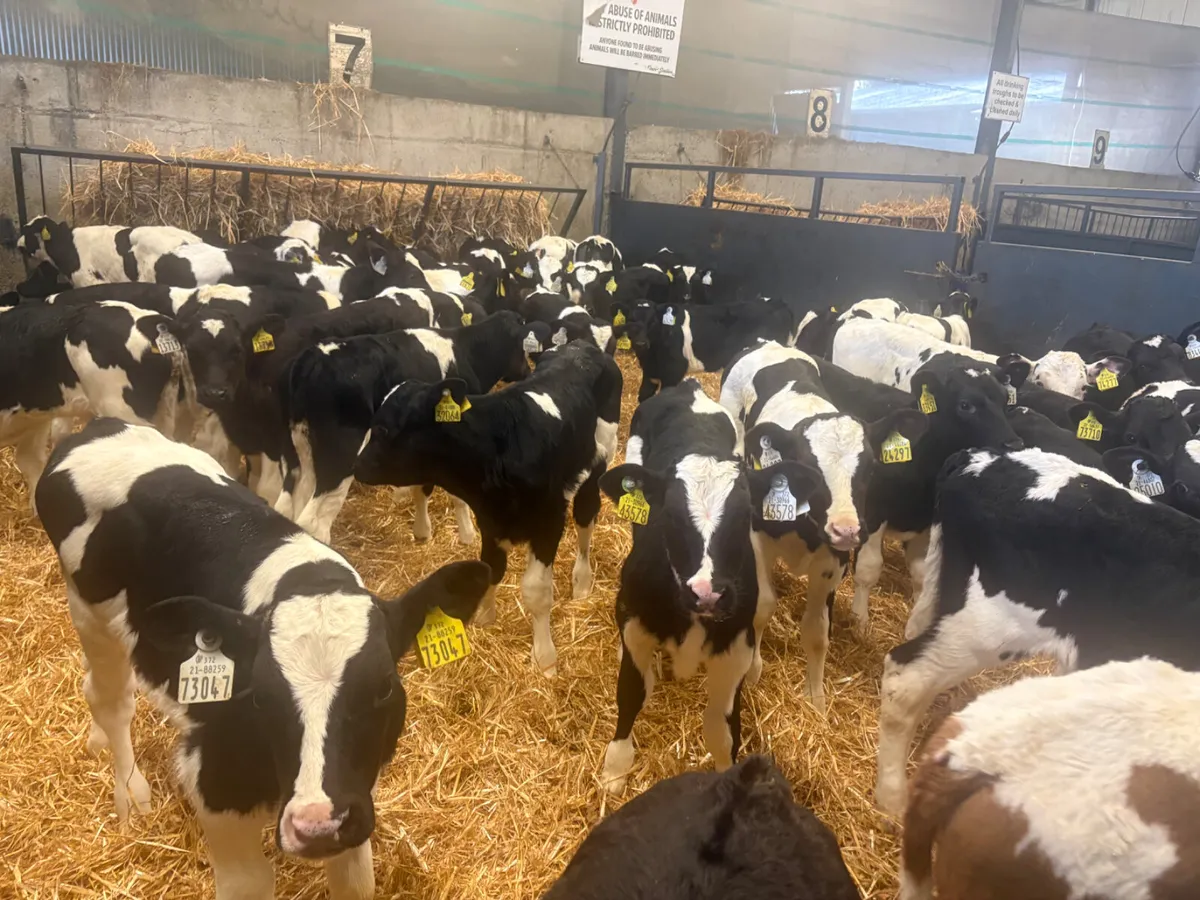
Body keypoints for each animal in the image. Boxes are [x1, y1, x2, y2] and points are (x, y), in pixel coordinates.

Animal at [36, 417, 489, 900]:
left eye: (384, 686)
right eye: (258, 697)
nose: (317, 825)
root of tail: (98, 427)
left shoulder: (356, 791)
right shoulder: (214, 782)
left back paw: (96, 740)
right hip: (90, 615)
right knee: (112, 701)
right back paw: (131, 792)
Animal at [355, 340, 622, 678]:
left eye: (384, 429)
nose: (357, 465)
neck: (498, 451)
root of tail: (582, 345)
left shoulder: (549, 521)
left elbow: (535, 591)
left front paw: (545, 657)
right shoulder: (489, 519)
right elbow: (491, 568)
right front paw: (484, 617)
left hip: (597, 463)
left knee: (586, 520)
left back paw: (583, 582)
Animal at [596, 379, 816, 793]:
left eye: (746, 515)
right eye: (668, 515)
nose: (707, 593)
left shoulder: (736, 649)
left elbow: (722, 730)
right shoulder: (634, 624)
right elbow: (630, 694)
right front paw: (613, 773)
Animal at [626, 299, 796, 401]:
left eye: (653, 321)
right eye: (630, 320)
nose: (641, 343)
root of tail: (777, 302)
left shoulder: (673, 372)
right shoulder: (650, 373)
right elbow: (643, 396)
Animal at [720, 342, 928, 711]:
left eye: (870, 468)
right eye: (810, 472)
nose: (846, 530)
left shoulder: (834, 560)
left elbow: (817, 630)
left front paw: (815, 698)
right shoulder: (756, 540)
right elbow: (762, 607)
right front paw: (753, 670)